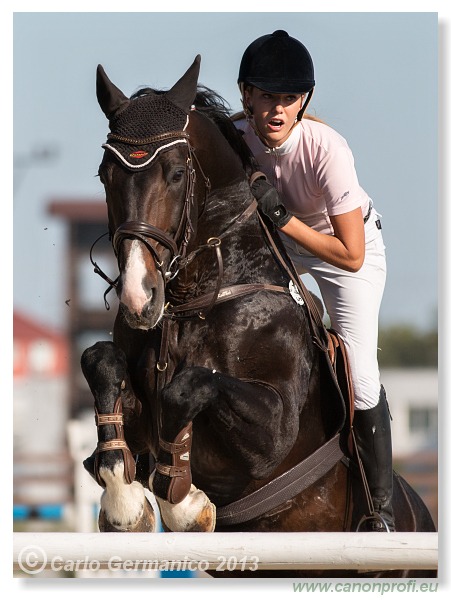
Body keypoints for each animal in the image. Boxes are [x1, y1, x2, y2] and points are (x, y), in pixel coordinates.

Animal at [82, 55, 438, 576]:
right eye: (105, 174)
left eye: (175, 174)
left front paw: (186, 505)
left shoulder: (273, 432)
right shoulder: (135, 408)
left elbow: (188, 387)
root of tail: (421, 514)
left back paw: (382, 528)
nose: (137, 297)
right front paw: (126, 508)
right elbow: (99, 362)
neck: (197, 298)